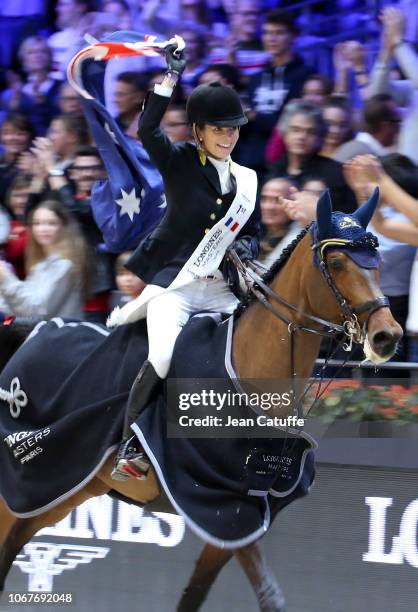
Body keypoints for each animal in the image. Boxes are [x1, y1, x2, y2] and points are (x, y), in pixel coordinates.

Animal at [0, 192, 402, 612]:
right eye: (337, 263)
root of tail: (34, 330)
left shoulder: (237, 518)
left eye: (377, 261)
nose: (387, 336)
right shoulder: (221, 507)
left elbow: (209, 596)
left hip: (60, 489)